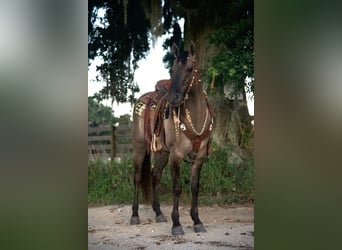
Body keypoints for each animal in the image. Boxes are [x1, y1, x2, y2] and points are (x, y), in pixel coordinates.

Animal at [130, 41, 214, 236]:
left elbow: (194, 187)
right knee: (137, 177)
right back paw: (135, 215)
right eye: (172, 69)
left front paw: (197, 221)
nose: (173, 98)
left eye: (190, 68)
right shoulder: (176, 156)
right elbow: (177, 188)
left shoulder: (199, 158)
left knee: (155, 175)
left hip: (162, 153)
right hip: (140, 148)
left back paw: (159, 213)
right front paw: (177, 224)